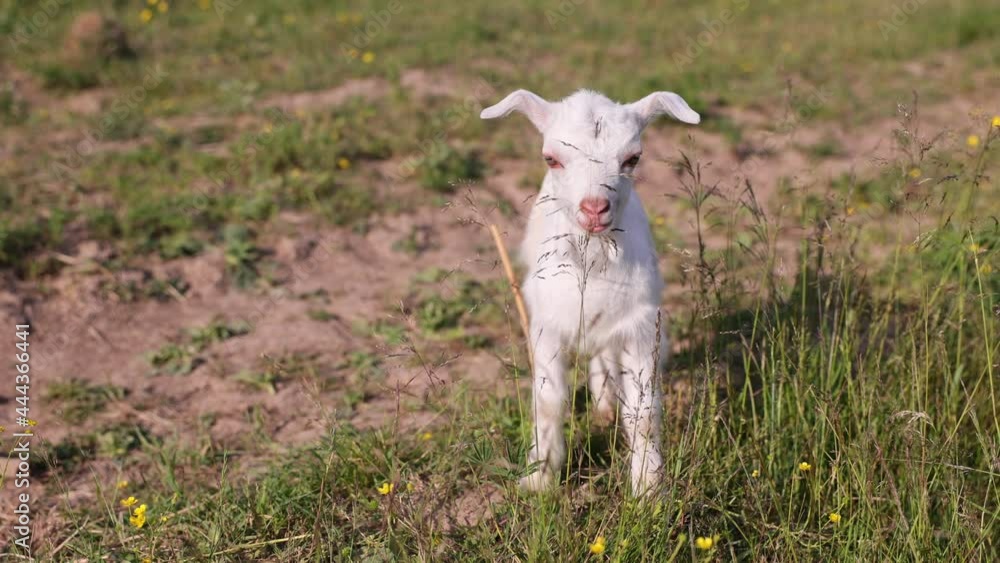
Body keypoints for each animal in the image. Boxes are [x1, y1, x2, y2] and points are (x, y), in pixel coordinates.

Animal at [480, 89, 700, 496]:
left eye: (632, 158)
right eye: (551, 158)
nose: (595, 208)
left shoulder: (641, 325)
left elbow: (643, 411)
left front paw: (649, 489)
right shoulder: (545, 325)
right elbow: (548, 401)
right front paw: (540, 476)